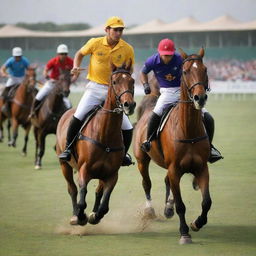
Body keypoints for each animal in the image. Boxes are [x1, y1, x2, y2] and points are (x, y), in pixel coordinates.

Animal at [56, 62, 136, 226]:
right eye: (115, 82)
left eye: (133, 81)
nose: (129, 105)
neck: (105, 134)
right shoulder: (84, 170)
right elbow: (82, 198)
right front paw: (80, 217)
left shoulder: (111, 174)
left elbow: (104, 204)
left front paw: (94, 215)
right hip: (64, 165)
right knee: (72, 189)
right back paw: (74, 216)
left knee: (98, 191)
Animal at [133, 48, 211, 244]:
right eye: (185, 71)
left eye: (205, 69)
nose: (200, 97)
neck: (188, 129)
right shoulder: (175, 168)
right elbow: (181, 205)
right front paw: (184, 233)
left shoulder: (201, 168)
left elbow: (206, 202)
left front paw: (197, 223)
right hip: (142, 160)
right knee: (147, 183)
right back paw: (150, 210)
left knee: (166, 181)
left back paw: (168, 207)